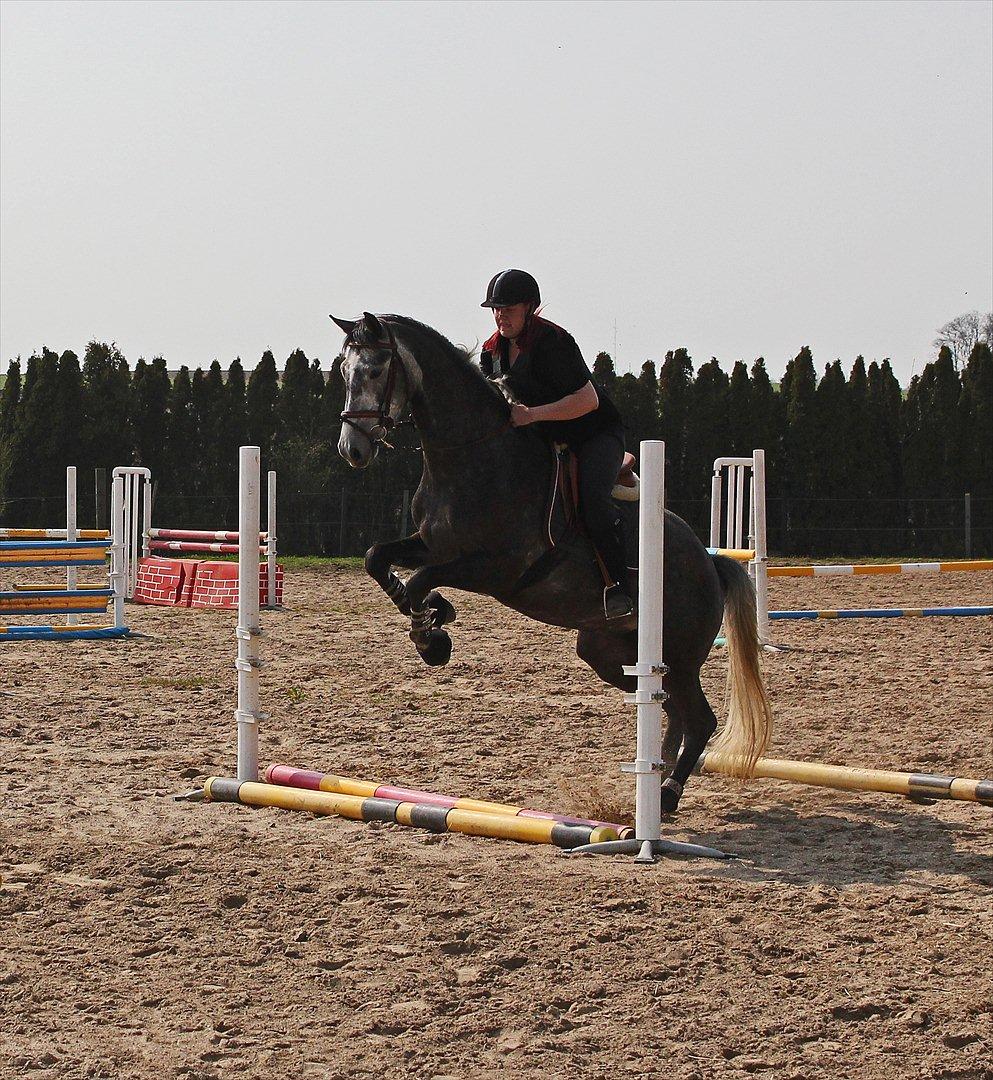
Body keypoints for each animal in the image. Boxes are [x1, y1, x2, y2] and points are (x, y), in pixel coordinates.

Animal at [334, 311, 777, 812]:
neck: (474, 455)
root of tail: (710, 564)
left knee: (699, 718)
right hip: (610, 652)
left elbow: (420, 581)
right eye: (343, 372)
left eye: (374, 371)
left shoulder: (497, 569)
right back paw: (657, 780)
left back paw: (666, 794)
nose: (352, 450)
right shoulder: (434, 546)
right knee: (668, 706)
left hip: (680, 653)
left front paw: (432, 636)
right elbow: (378, 559)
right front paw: (434, 617)